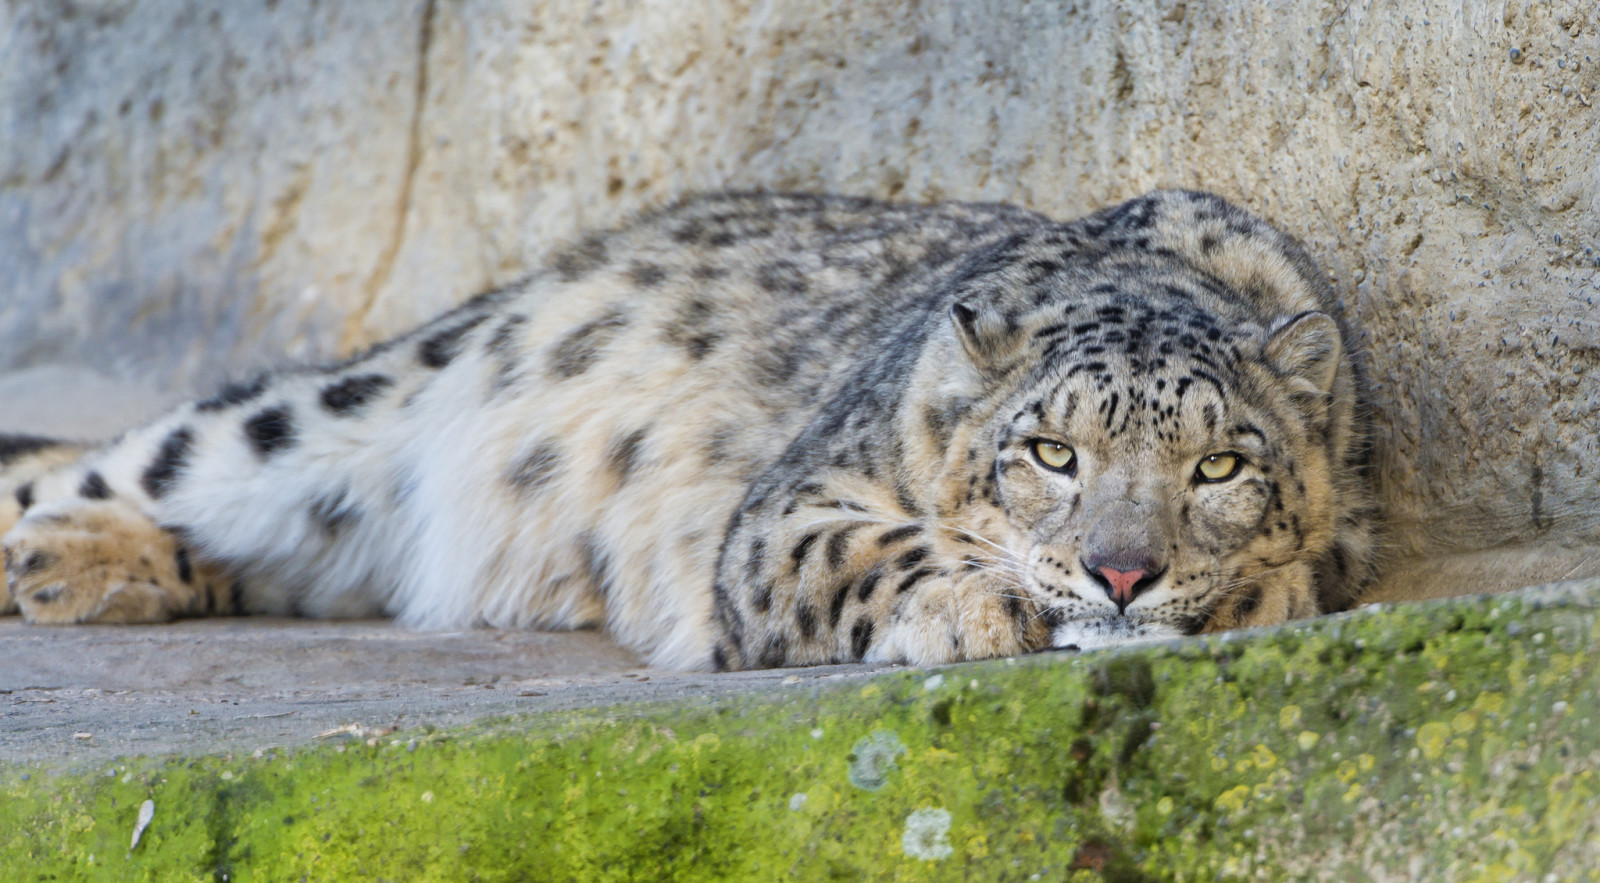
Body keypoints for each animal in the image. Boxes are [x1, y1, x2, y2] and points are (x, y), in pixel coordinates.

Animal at [0, 187, 1376, 668]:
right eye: (1051, 452)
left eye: (1219, 465)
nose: (1121, 570)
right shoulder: (786, 513)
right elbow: (863, 553)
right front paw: (972, 607)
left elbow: (1309, 571)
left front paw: (1247, 592)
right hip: (330, 418)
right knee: (140, 455)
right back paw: (51, 552)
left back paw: (92, 572)